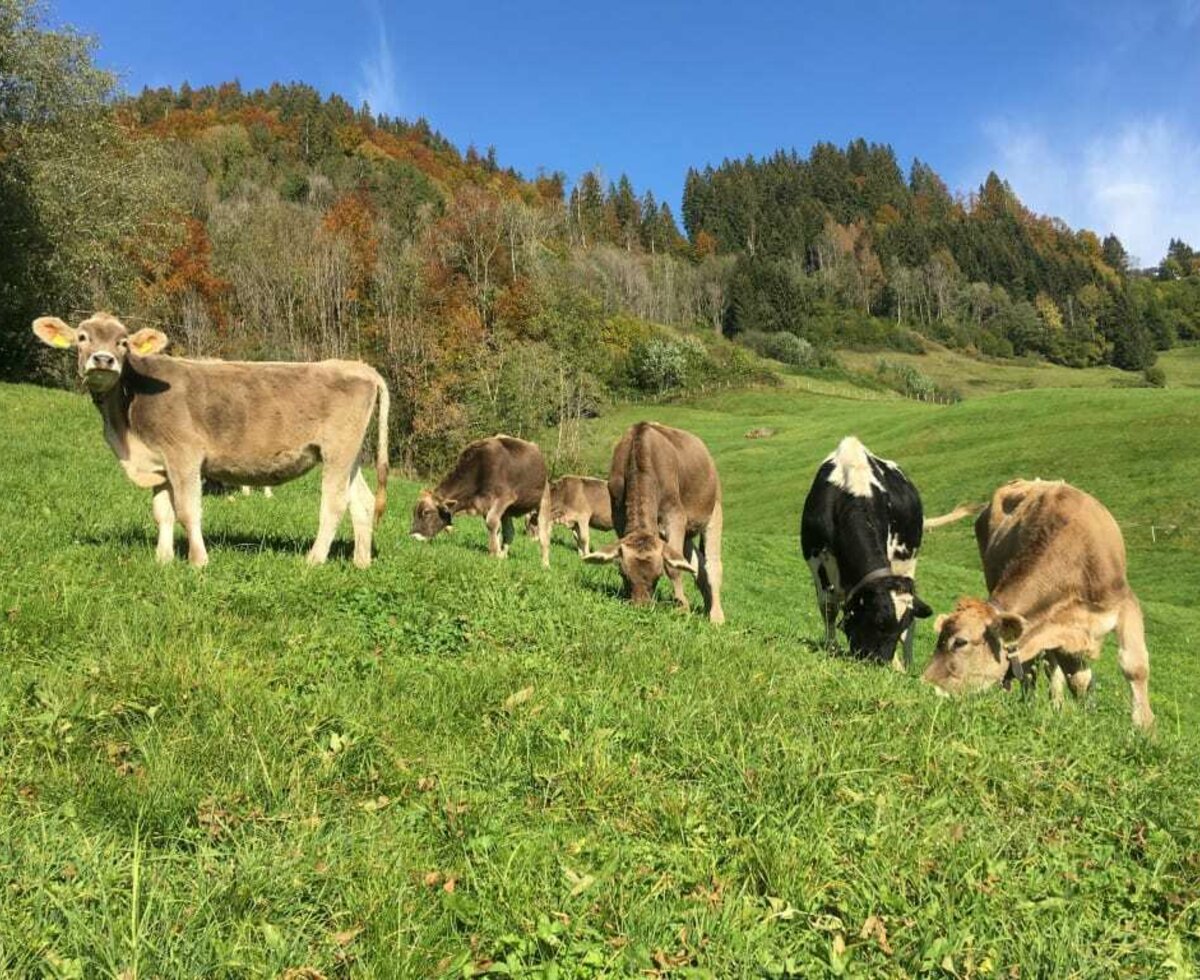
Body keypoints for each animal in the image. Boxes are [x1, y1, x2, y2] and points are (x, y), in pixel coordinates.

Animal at [32, 314, 388, 568]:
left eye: (123, 343)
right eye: (82, 337)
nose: (103, 360)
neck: (125, 433)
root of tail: (360, 367)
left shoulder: (184, 455)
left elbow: (188, 510)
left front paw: (198, 561)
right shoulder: (160, 463)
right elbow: (163, 513)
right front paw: (163, 560)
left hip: (337, 451)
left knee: (334, 503)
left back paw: (313, 560)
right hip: (351, 455)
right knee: (362, 502)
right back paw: (361, 562)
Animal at [408, 436, 549, 566]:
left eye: (426, 512)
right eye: (414, 512)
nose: (413, 536)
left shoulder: (503, 497)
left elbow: (491, 523)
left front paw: (494, 553)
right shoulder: (486, 505)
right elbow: (496, 528)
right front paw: (497, 553)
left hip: (543, 500)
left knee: (543, 533)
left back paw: (545, 563)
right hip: (507, 511)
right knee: (510, 532)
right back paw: (504, 555)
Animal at [580, 419, 720, 618]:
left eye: (658, 575)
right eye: (623, 574)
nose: (642, 607)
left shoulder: (675, 514)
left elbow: (674, 567)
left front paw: (682, 606)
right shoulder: (618, 515)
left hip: (714, 508)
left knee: (713, 564)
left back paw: (716, 616)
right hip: (688, 532)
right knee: (695, 563)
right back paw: (707, 608)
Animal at [801, 436, 931, 666]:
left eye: (898, 628)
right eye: (878, 621)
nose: (881, 663)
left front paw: (897, 664)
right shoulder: (816, 559)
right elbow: (828, 607)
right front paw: (831, 648)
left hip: (908, 564)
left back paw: (906, 664)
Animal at [916, 477, 1152, 729]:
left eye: (960, 642)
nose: (925, 685)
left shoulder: (1124, 604)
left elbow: (1134, 667)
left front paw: (1144, 728)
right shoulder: (1059, 626)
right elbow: (1076, 679)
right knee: (1040, 668)